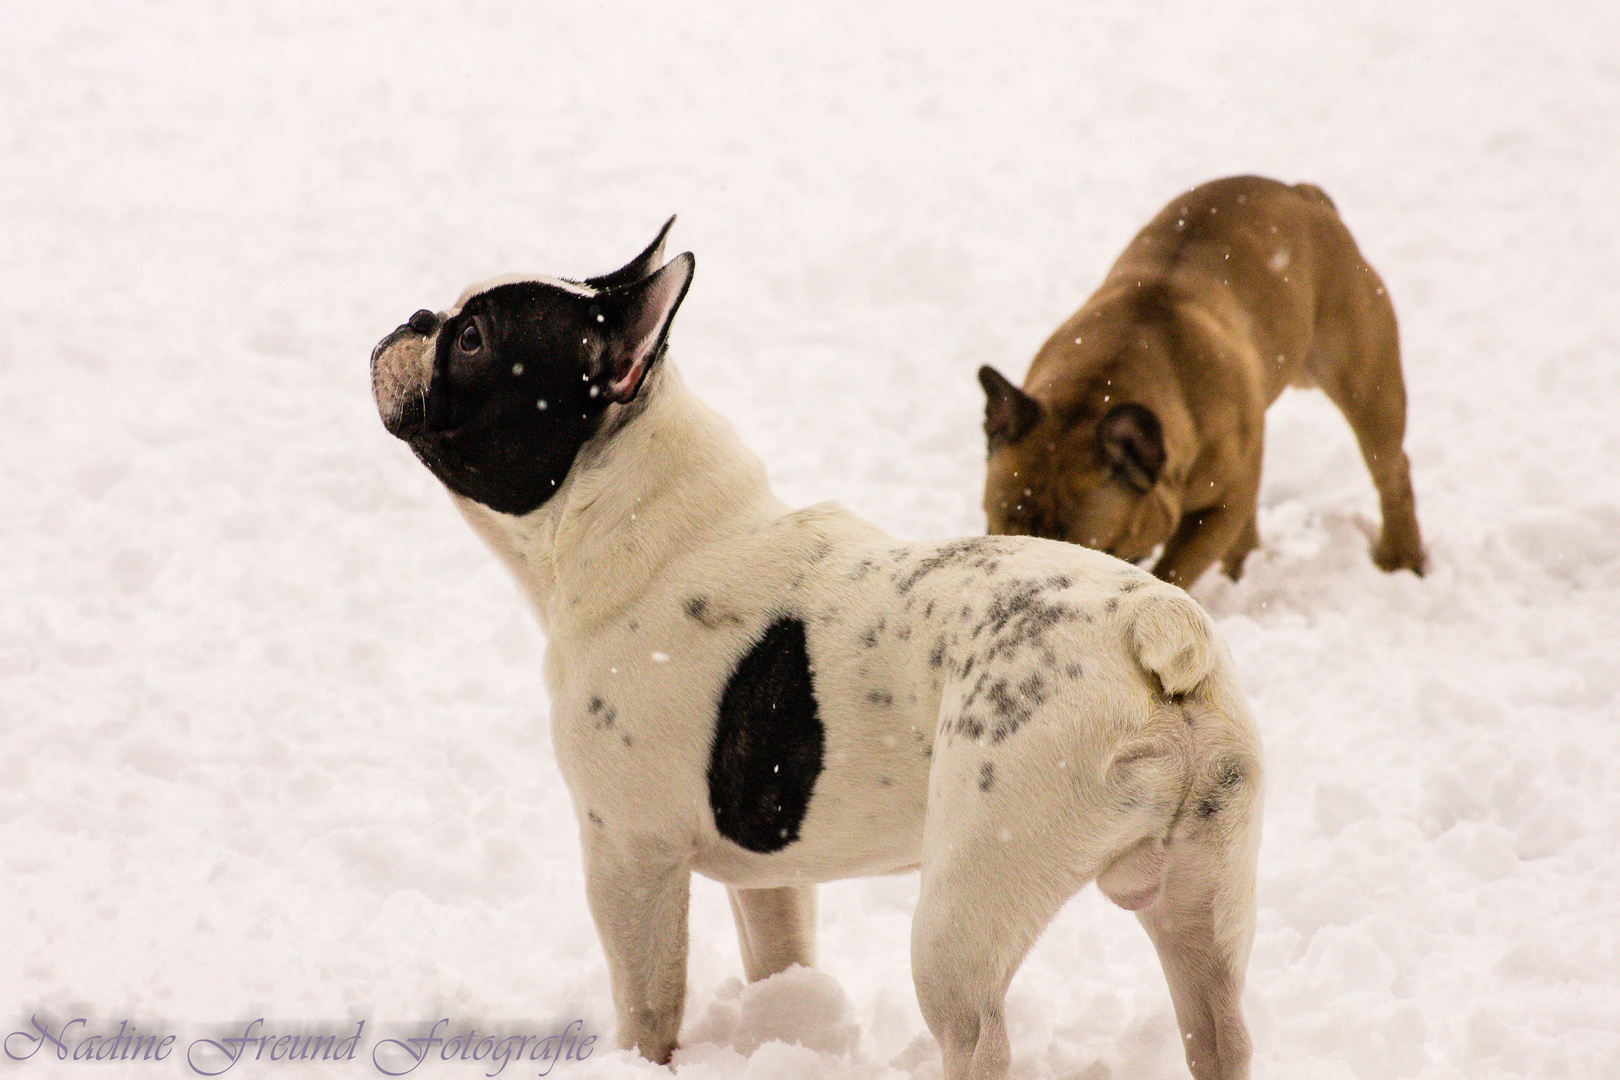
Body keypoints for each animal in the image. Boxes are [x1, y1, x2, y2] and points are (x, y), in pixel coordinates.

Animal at [370, 221, 1263, 1080]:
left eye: (473, 339)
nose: (415, 318)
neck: (636, 522)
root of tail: (1151, 629)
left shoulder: (626, 851)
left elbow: (648, 999)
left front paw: (636, 1064)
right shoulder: (772, 876)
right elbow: (779, 953)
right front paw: (785, 1022)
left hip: (969, 898)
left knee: (976, 1035)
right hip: (1205, 895)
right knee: (1218, 1027)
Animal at [972, 174, 1419, 586]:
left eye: (1092, 554)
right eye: (996, 532)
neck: (1098, 386)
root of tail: (1301, 192)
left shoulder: (1220, 507)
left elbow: (1172, 573)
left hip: (1366, 384)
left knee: (1391, 471)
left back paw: (1402, 560)